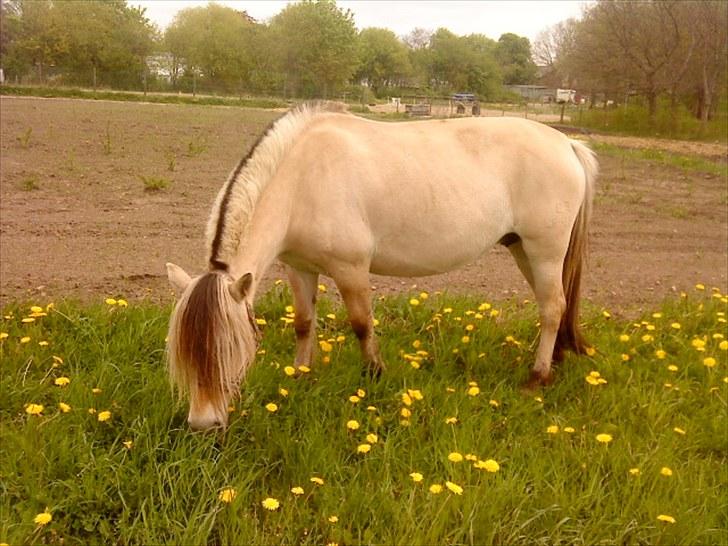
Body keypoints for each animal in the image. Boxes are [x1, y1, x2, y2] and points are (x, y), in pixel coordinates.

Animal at [166, 102, 596, 430]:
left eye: (228, 347)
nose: (204, 424)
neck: (302, 178)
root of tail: (567, 142)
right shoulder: (299, 268)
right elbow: (304, 324)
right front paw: (301, 377)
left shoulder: (351, 268)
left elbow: (361, 324)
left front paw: (374, 374)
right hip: (523, 249)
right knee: (552, 306)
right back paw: (554, 361)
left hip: (544, 250)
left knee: (552, 307)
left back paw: (536, 378)